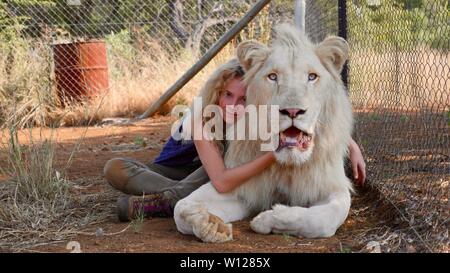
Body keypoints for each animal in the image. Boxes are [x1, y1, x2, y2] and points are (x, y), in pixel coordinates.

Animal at [174, 24, 354, 242]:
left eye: (312, 77)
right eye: (273, 76)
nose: (292, 111)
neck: (287, 166)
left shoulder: (331, 186)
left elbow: (324, 219)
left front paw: (269, 219)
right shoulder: (242, 186)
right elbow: (181, 208)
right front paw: (210, 224)